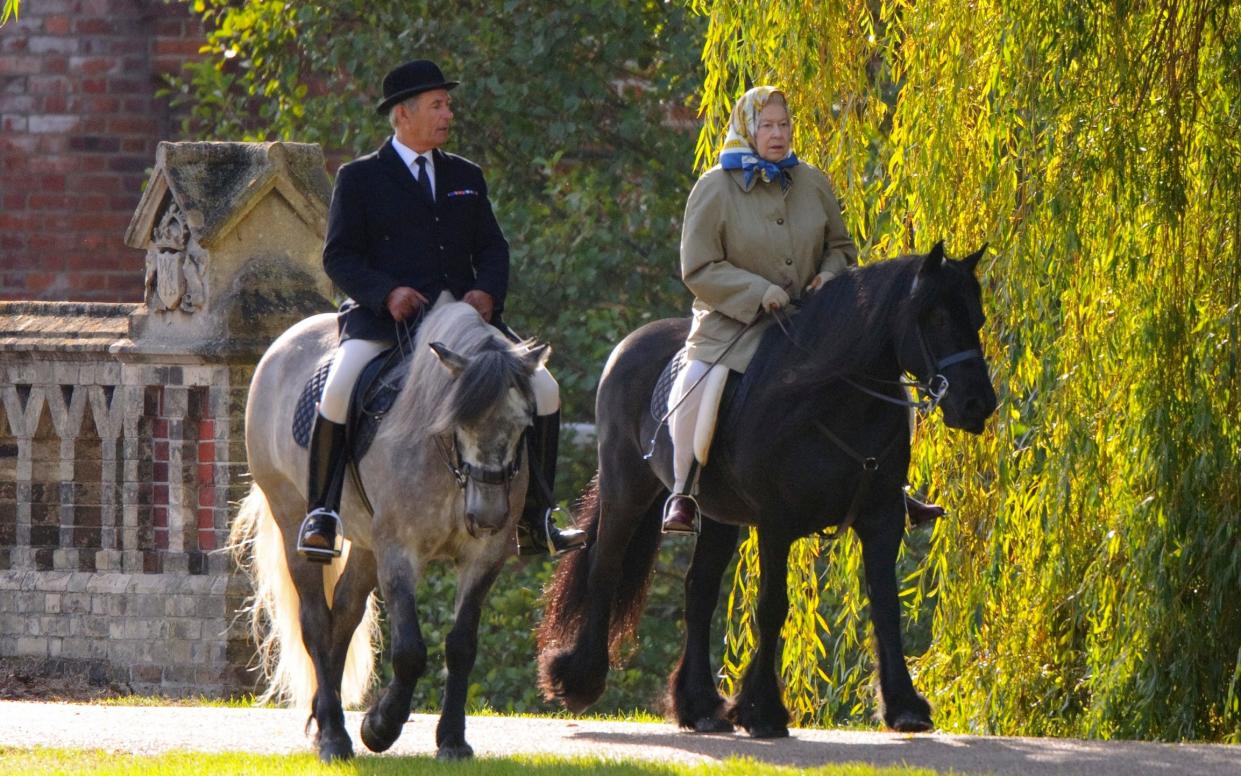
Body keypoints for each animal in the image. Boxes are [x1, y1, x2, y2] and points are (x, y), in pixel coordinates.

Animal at [229, 293, 548, 759]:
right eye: (458, 421)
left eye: (526, 424)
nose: (488, 516)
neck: (447, 463)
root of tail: (283, 344)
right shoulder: (399, 551)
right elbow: (411, 650)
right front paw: (380, 726)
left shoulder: (483, 557)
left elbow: (462, 645)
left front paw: (452, 740)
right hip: (292, 522)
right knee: (315, 621)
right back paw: (334, 736)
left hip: (365, 544)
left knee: (343, 615)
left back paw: (325, 719)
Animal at [538, 244, 992, 735]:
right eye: (937, 318)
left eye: (977, 316)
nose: (978, 404)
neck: (836, 402)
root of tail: (630, 344)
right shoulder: (777, 523)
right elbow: (773, 605)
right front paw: (763, 709)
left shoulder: (882, 518)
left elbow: (886, 604)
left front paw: (904, 705)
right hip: (626, 490)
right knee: (605, 567)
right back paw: (581, 680)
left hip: (715, 515)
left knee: (698, 591)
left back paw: (700, 706)